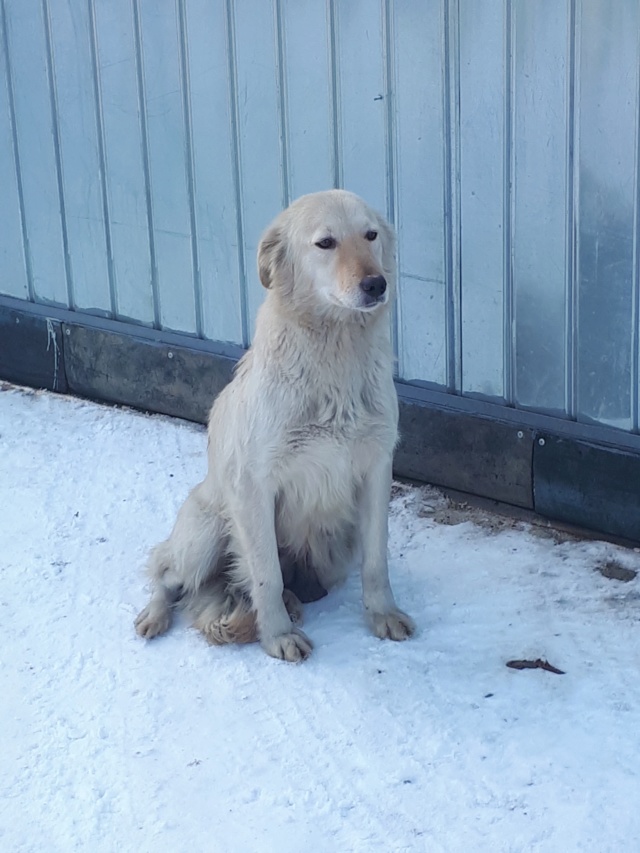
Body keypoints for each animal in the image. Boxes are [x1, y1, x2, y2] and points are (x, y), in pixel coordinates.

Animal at [135, 190, 416, 664]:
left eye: (370, 235)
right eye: (325, 243)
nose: (376, 285)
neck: (334, 355)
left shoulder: (376, 470)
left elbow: (377, 562)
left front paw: (382, 614)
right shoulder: (254, 486)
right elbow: (266, 573)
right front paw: (278, 635)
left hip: (335, 551)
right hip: (206, 532)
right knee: (166, 571)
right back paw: (154, 615)